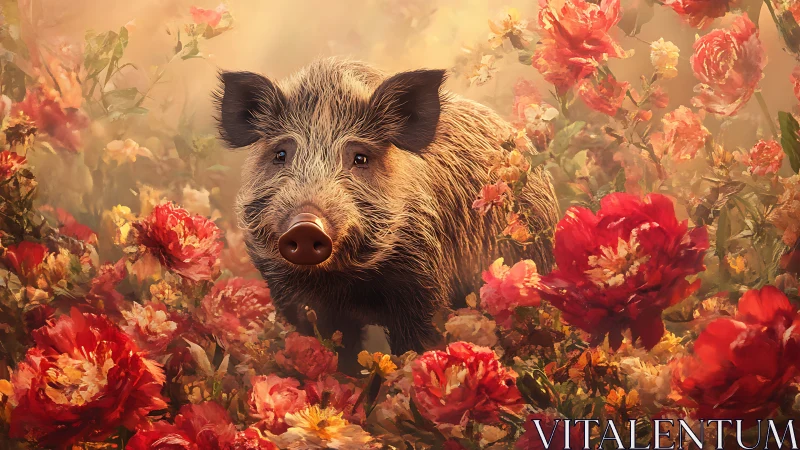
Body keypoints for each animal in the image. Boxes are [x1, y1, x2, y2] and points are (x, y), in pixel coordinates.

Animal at [215, 57, 558, 368]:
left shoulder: (424, 286)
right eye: (281, 154)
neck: (343, 282)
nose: (306, 225)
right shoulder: (293, 298)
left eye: (360, 158)